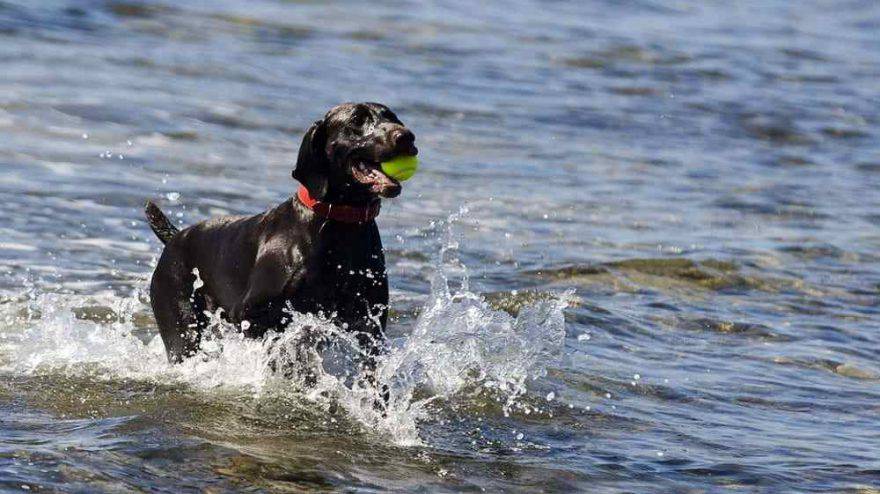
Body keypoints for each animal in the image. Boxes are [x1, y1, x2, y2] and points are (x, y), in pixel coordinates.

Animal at [146, 102, 418, 374]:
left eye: (392, 117)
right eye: (357, 120)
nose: (406, 136)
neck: (340, 227)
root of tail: (176, 238)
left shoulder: (368, 327)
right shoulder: (250, 313)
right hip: (182, 328)